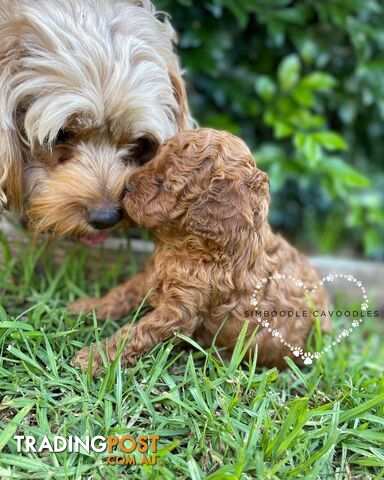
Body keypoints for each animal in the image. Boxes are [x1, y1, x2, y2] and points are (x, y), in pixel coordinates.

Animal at [71, 128, 330, 376]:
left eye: (166, 183)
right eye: (153, 161)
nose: (125, 188)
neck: (187, 243)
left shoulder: (182, 309)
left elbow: (138, 332)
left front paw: (96, 357)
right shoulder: (151, 275)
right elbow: (122, 292)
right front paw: (88, 307)